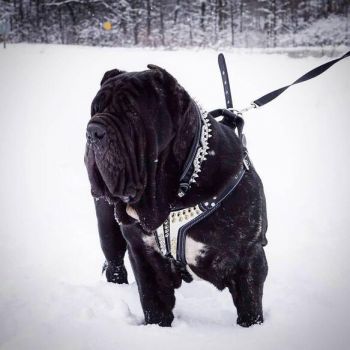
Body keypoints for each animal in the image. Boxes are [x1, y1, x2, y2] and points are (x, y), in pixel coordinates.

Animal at [84, 64, 268, 326]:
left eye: (131, 113)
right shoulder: (144, 255)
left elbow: (250, 306)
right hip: (107, 227)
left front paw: (251, 328)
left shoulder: (248, 257)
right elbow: (153, 303)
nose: (92, 130)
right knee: (114, 263)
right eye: (94, 110)